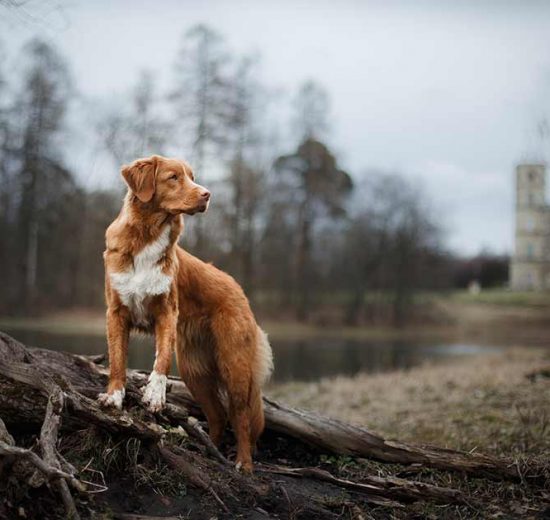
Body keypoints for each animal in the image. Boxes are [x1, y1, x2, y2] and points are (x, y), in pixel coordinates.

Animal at [98, 153, 274, 472]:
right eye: (173, 177)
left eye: (193, 177)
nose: (207, 194)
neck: (148, 236)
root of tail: (238, 289)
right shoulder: (115, 312)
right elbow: (117, 359)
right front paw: (113, 397)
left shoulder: (167, 313)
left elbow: (162, 360)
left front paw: (154, 395)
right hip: (195, 372)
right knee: (217, 416)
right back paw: (210, 451)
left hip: (234, 366)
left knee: (240, 416)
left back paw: (243, 463)